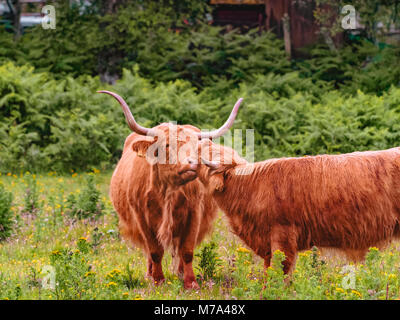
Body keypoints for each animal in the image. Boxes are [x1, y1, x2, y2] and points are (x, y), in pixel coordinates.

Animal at [99, 90, 244, 290]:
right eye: (167, 145)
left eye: (196, 147)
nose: (193, 163)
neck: (168, 192)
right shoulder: (141, 217)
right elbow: (154, 250)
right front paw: (158, 281)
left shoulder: (194, 213)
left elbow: (187, 250)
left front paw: (190, 283)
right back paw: (149, 275)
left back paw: (180, 273)